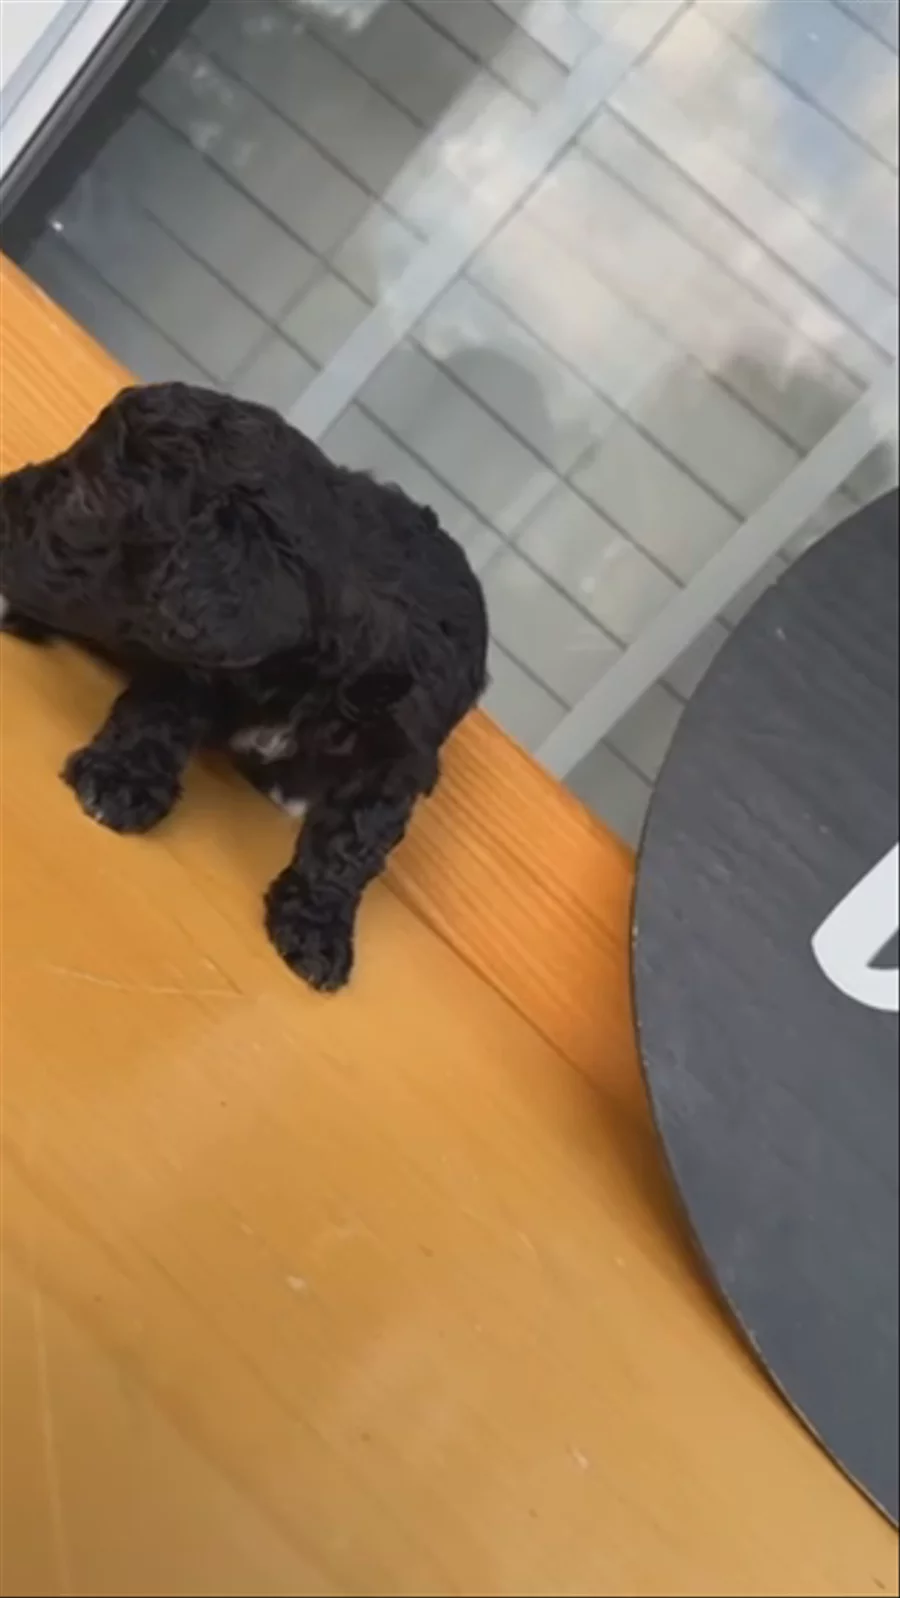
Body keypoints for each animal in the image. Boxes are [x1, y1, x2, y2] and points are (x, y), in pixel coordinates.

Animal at [0, 382, 488, 990]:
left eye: (85, 502)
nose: (2, 495)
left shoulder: (399, 757)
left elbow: (352, 844)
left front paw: (317, 928)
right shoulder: (193, 658)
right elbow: (159, 712)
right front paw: (120, 778)